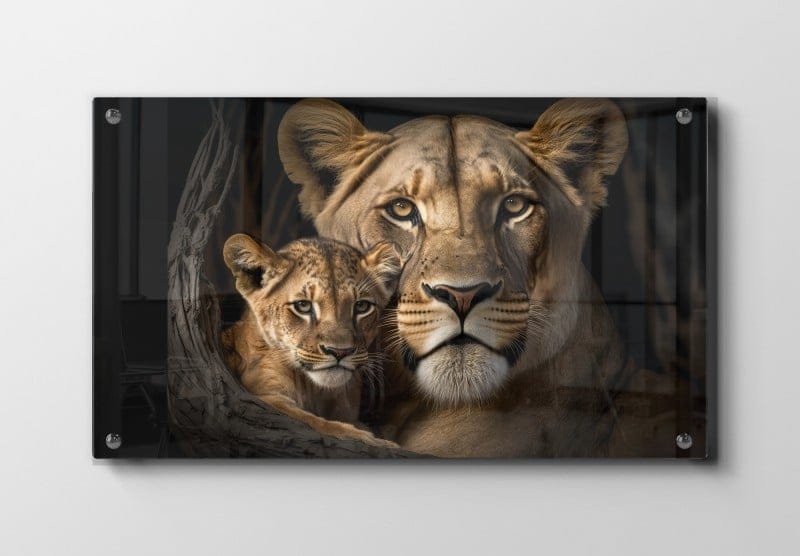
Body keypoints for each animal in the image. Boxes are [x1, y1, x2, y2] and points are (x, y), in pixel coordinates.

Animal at [221, 233, 402, 448]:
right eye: (303, 306)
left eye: (362, 306)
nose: (340, 352)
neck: (317, 391)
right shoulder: (262, 395)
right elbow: (314, 421)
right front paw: (374, 441)